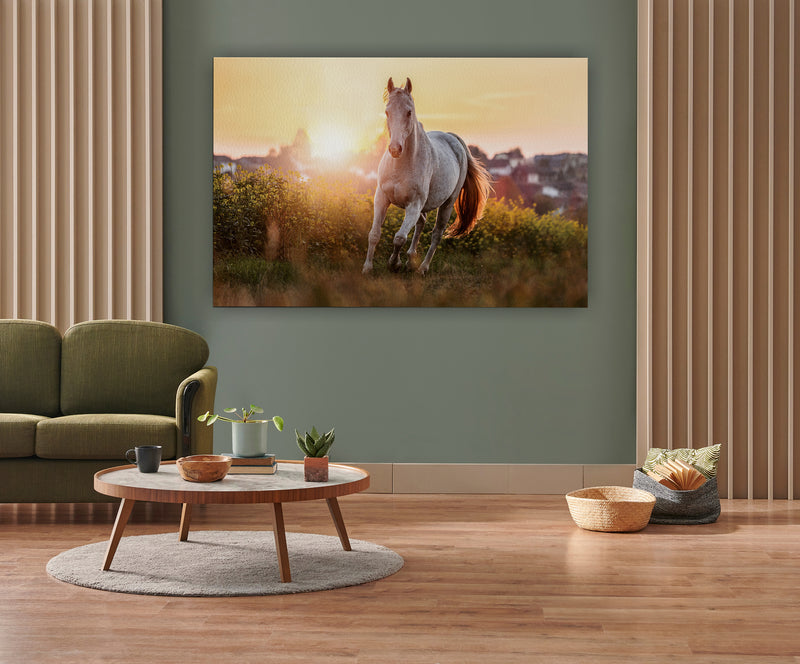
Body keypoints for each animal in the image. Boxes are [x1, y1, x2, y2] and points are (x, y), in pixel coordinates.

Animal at [364, 77, 494, 274]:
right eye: (387, 112)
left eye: (409, 112)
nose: (395, 149)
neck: (401, 165)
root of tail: (453, 139)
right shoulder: (381, 198)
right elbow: (374, 234)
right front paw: (367, 268)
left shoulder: (414, 205)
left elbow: (399, 237)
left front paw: (394, 264)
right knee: (421, 223)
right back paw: (411, 260)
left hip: (447, 204)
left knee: (436, 234)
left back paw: (422, 268)